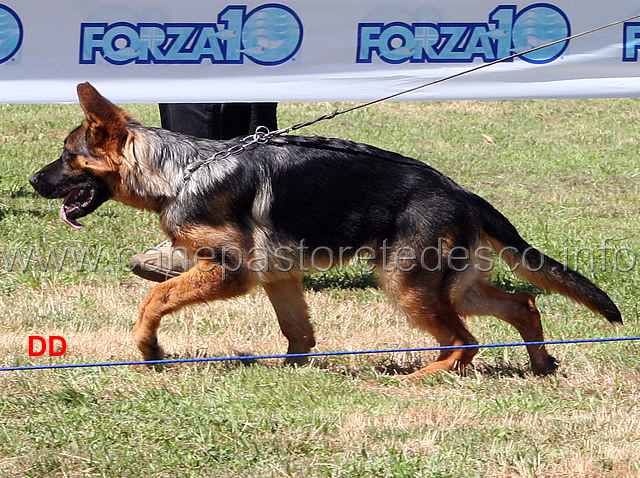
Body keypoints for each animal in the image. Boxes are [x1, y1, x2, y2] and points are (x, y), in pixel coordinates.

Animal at [28, 84, 620, 380]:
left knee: (465, 343)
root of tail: (462, 193)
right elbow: (298, 331)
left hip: (408, 286)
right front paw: (292, 370)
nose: (32, 181)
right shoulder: (278, 277)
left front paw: (149, 349)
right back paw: (540, 366)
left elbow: (155, 297)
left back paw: (419, 378)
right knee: (523, 304)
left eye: (67, 156)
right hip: (452, 285)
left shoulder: (231, 273)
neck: (181, 171)